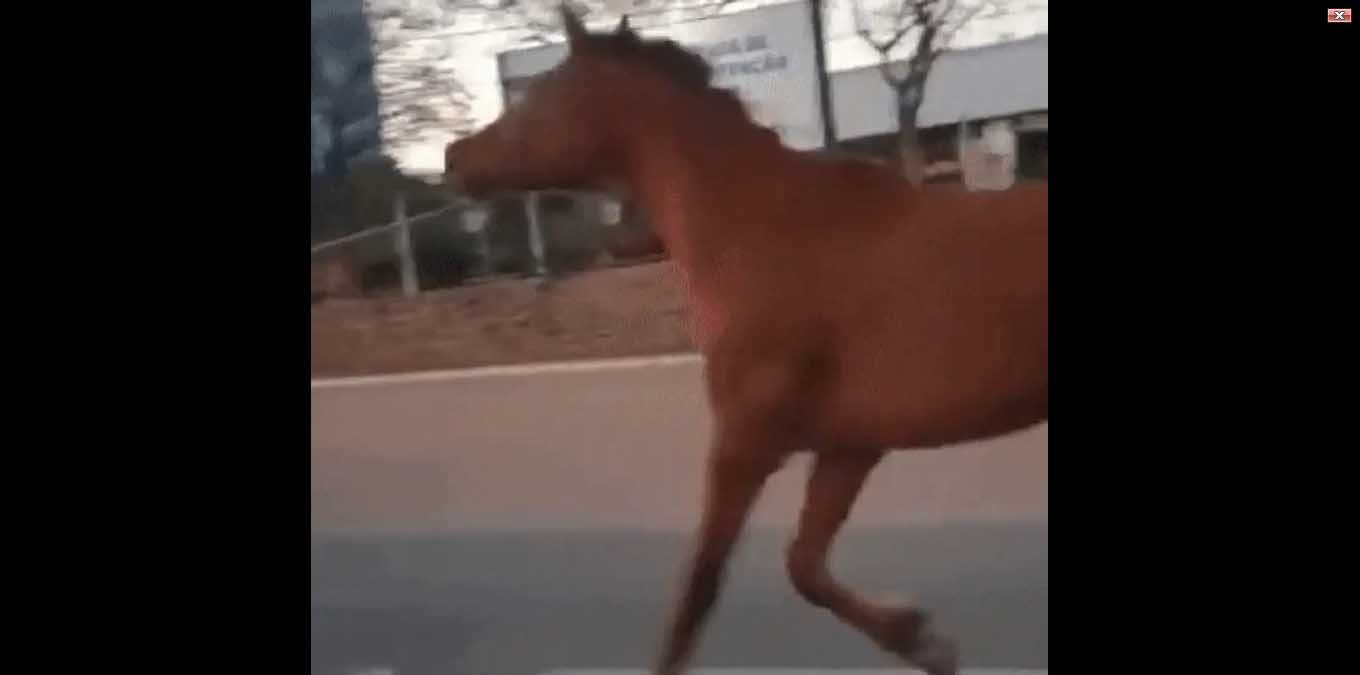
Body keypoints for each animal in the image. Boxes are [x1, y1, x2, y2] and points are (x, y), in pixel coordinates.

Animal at [440, 6, 1044, 675]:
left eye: (539, 94)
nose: (453, 157)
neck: (757, 230)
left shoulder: (744, 444)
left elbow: (699, 589)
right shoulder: (848, 446)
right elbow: (804, 568)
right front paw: (923, 639)